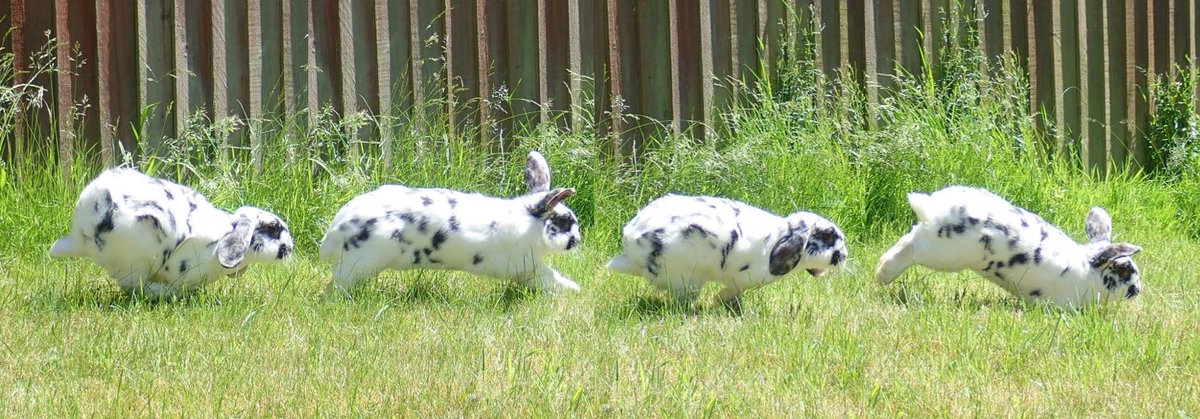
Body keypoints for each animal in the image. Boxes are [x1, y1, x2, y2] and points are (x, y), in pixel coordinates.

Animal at [49, 168, 294, 300]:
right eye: (273, 228)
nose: (290, 248)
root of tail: (81, 235)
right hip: (136, 257)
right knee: (136, 285)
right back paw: (166, 292)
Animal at [320, 150, 581, 296]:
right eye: (563, 221)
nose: (577, 240)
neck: (530, 224)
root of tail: (338, 228)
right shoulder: (527, 267)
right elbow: (549, 278)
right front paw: (573, 289)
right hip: (361, 263)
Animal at [607, 194, 848, 308]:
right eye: (827, 237)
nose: (844, 255)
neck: (778, 238)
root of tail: (633, 238)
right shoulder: (741, 281)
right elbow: (732, 291)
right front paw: (721, 301)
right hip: (685, 278)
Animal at [874, 185, 1142, 308]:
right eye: (1124, 271)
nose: (1138, 290)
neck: (1088, 269)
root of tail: (933, 209)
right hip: (943, 254)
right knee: (912, 249)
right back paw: (883, 274)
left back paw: (881, 273)